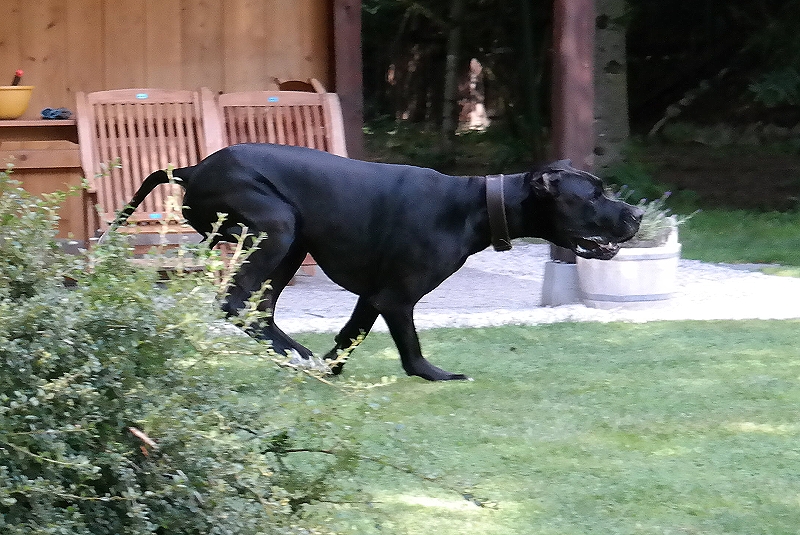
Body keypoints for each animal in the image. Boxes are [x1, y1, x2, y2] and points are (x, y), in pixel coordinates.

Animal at [109, 143, 642, 381]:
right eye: (595, 195)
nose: (637, 215)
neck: (476, 205)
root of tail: (193, 168)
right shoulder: (397, 297)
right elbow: (410, 350)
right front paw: (435, 374)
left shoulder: (373, 295)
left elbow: (349, 335)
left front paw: (329, 371)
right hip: (278, 226)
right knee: (236, 302)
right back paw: (293, 352)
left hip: (293, 241)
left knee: (258, 308)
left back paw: (294, 355)